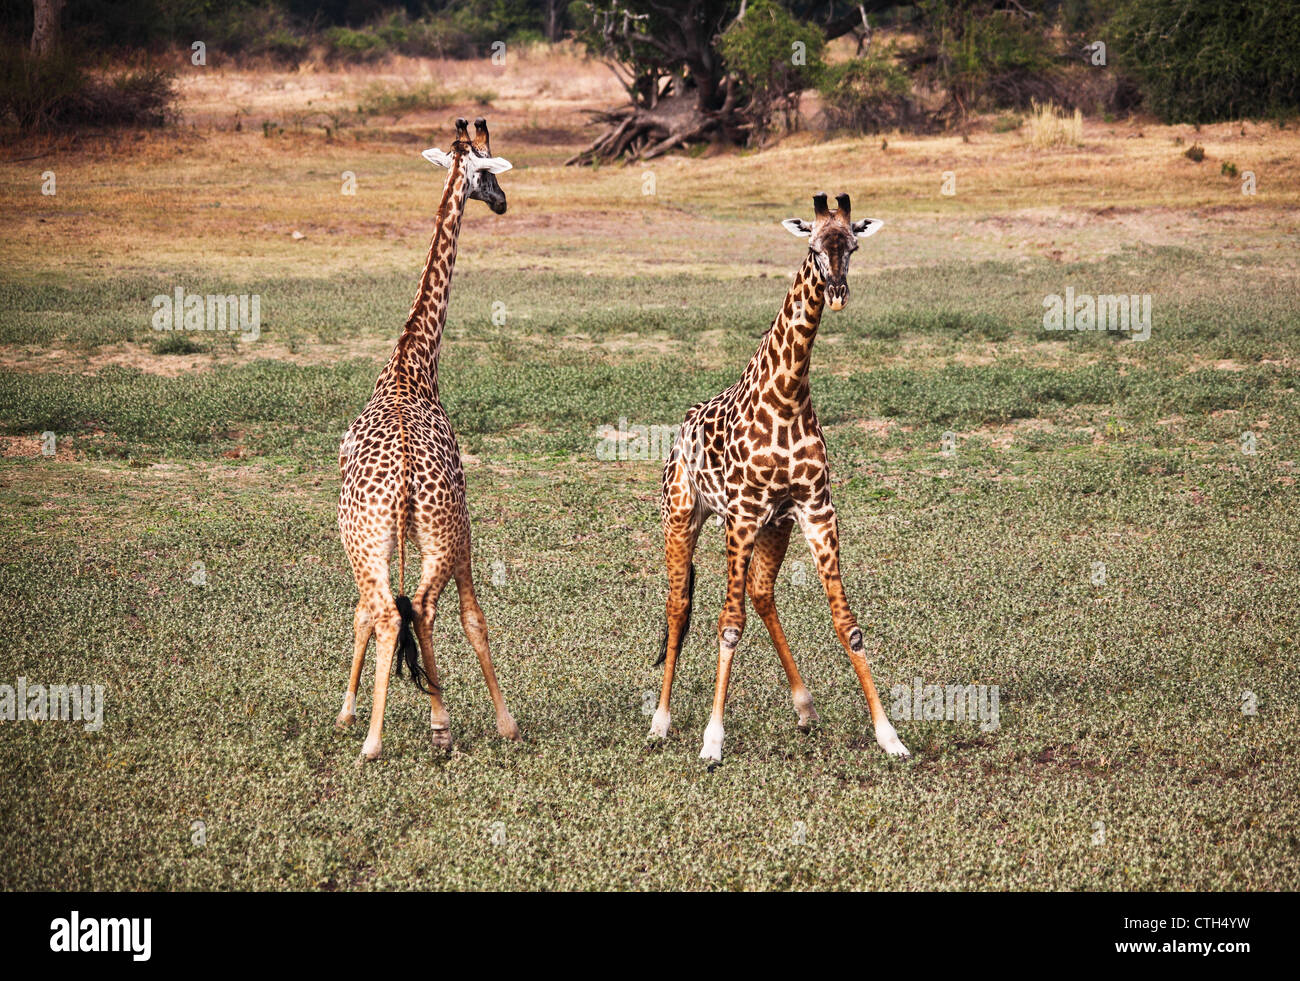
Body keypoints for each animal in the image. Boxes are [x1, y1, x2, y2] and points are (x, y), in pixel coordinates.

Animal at [335, 118, 517, 764]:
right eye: (487, 171)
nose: (503, 202)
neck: (413, 363)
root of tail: (403, 480)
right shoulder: (461, 523)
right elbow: (472, 616)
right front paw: (497, 721)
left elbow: (367, 613)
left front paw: (345, 712)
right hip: (433, 532)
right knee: (419, 609)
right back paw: (406, 732)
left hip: (367, 538)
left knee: (388, 609)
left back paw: (369, 732)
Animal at [650, 188, 915, 764]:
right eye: (813, 247)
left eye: (853, 246)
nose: (837, 293)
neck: (788, 395)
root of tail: (677, 435)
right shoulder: (743, 515)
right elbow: (728, 627)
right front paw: (712, 740)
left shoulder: (815, 509)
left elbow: (848, 625)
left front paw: (889, 735)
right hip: (681, 516)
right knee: (679, 605)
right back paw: (660, 720)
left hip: (777, 525)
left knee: (760, 593)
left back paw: (805, 707)